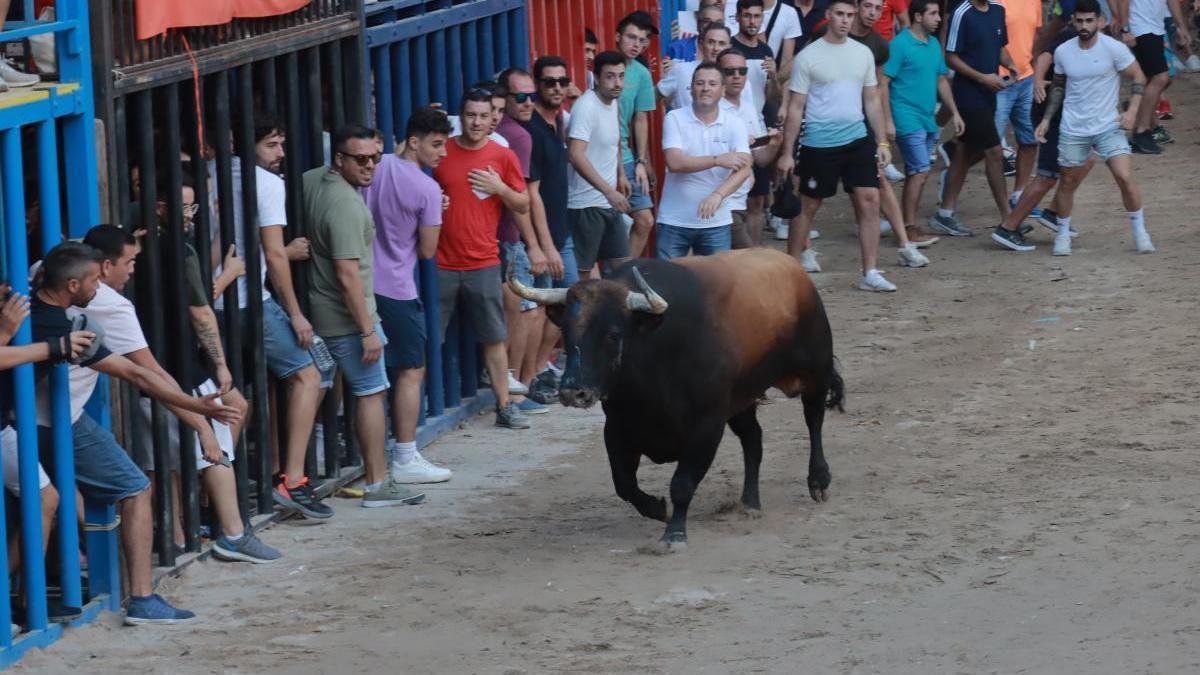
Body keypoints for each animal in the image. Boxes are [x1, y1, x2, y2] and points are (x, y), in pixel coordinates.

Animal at [508, 247, 844, 547]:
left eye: (613, 334)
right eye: (565, 333)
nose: (572, 391)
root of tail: (794, 270)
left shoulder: (706, 426)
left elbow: (681, 483)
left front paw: (675, 534)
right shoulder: (617, 428)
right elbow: (624, 483)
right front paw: (657, 509)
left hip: (815, 370)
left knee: (813, 420)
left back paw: (819, 480)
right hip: (741, 399)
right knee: (753, 439)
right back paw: (749, 502)